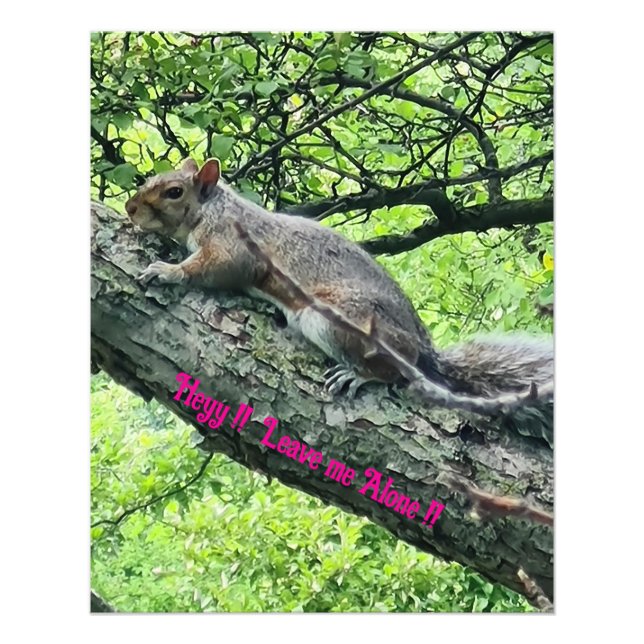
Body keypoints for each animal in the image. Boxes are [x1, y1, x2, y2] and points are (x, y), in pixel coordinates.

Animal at [125, 158, 553, 444]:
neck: (215, 208)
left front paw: (167, 271)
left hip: (335, 318)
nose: (129, 208)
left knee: (398, 370)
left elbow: (215, 267)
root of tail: (423, 350)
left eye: (174, 192)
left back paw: (360, 375)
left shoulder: (234, 245)